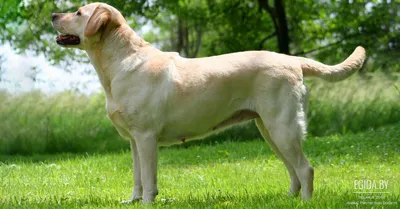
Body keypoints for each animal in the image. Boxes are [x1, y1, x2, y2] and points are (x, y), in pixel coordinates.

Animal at [51, 2, 368, 203]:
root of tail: (293, 60)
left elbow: (150, 179)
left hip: (283, 127)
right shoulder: (133, 140)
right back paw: (288, 199)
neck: (120, 62)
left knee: (305, 168)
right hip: (269, 130)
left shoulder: (146, 137)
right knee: (293, 170)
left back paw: (304, 202)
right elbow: (137, 177)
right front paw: (133, 200)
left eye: (78, 12)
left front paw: (147, 203)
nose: (53, 13)